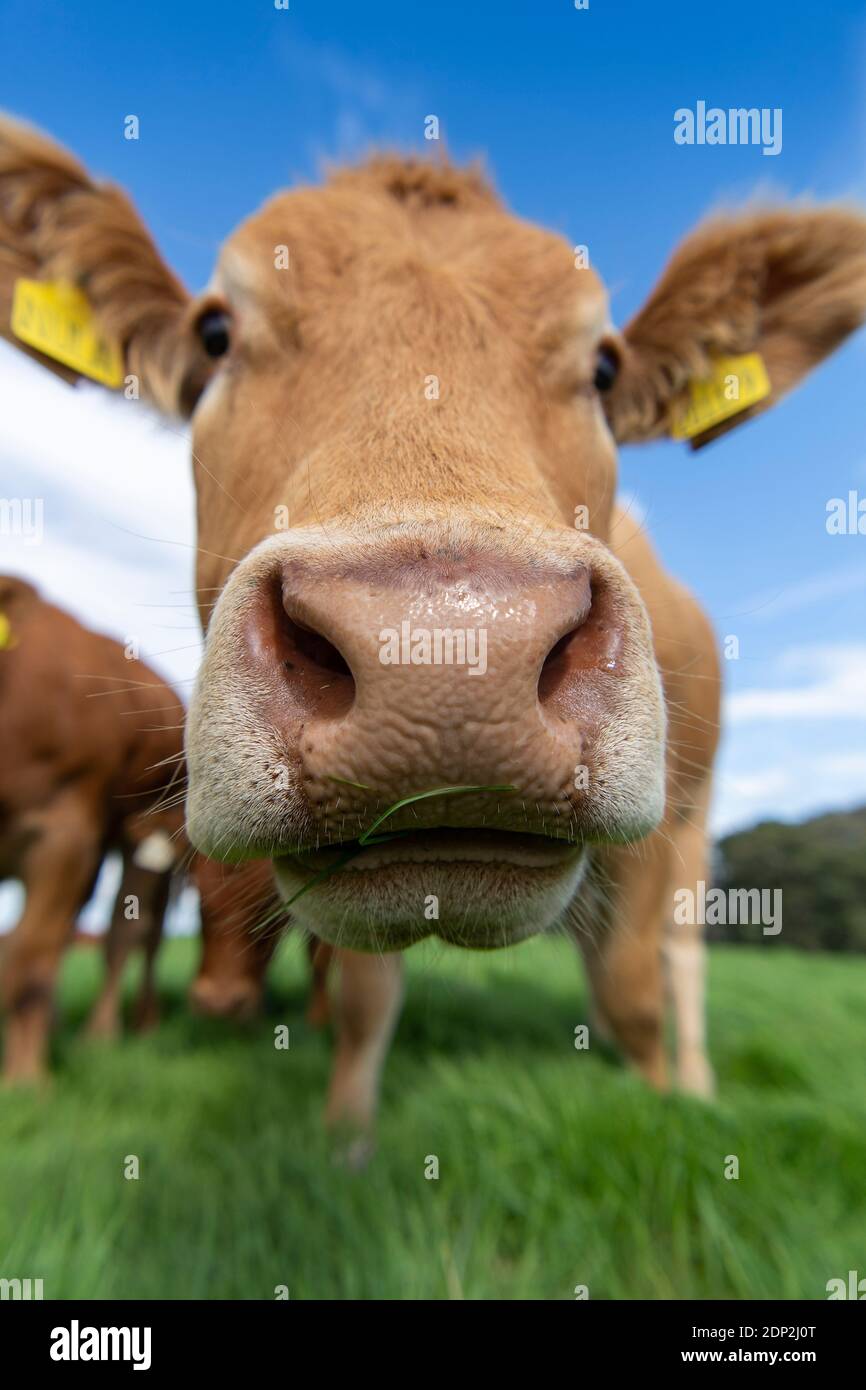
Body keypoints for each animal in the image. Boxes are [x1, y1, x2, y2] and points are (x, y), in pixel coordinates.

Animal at [2, 115, 864, 1139]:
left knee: (677, 960)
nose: (448, 659)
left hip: (695, 810)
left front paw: (667, 1110)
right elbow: (364, 1003)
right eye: (215, 333)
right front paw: (345, 1145)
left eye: (604, 366)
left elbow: (635, 995)